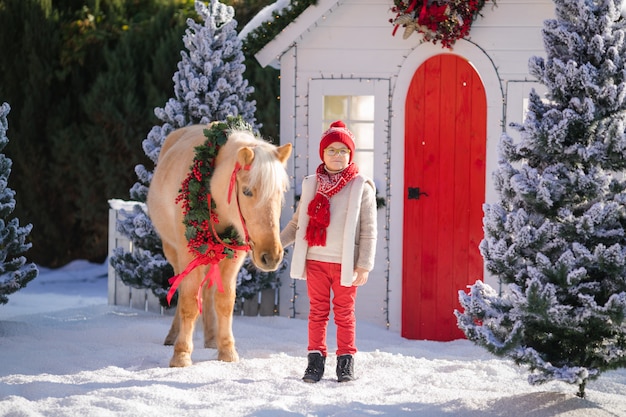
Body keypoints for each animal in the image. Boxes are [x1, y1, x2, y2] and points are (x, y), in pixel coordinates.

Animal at [147, 122, 292, 366]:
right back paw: (174, 335)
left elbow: (224, 302)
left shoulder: (234, 258)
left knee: (207, 293)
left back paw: (211, 338)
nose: (271, 256)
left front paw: (226, 351)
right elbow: (188, 302)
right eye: (247, 191)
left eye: (281, 192)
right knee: (182, 291)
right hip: (173, 252)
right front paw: (181, 355)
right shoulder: (188, 254)